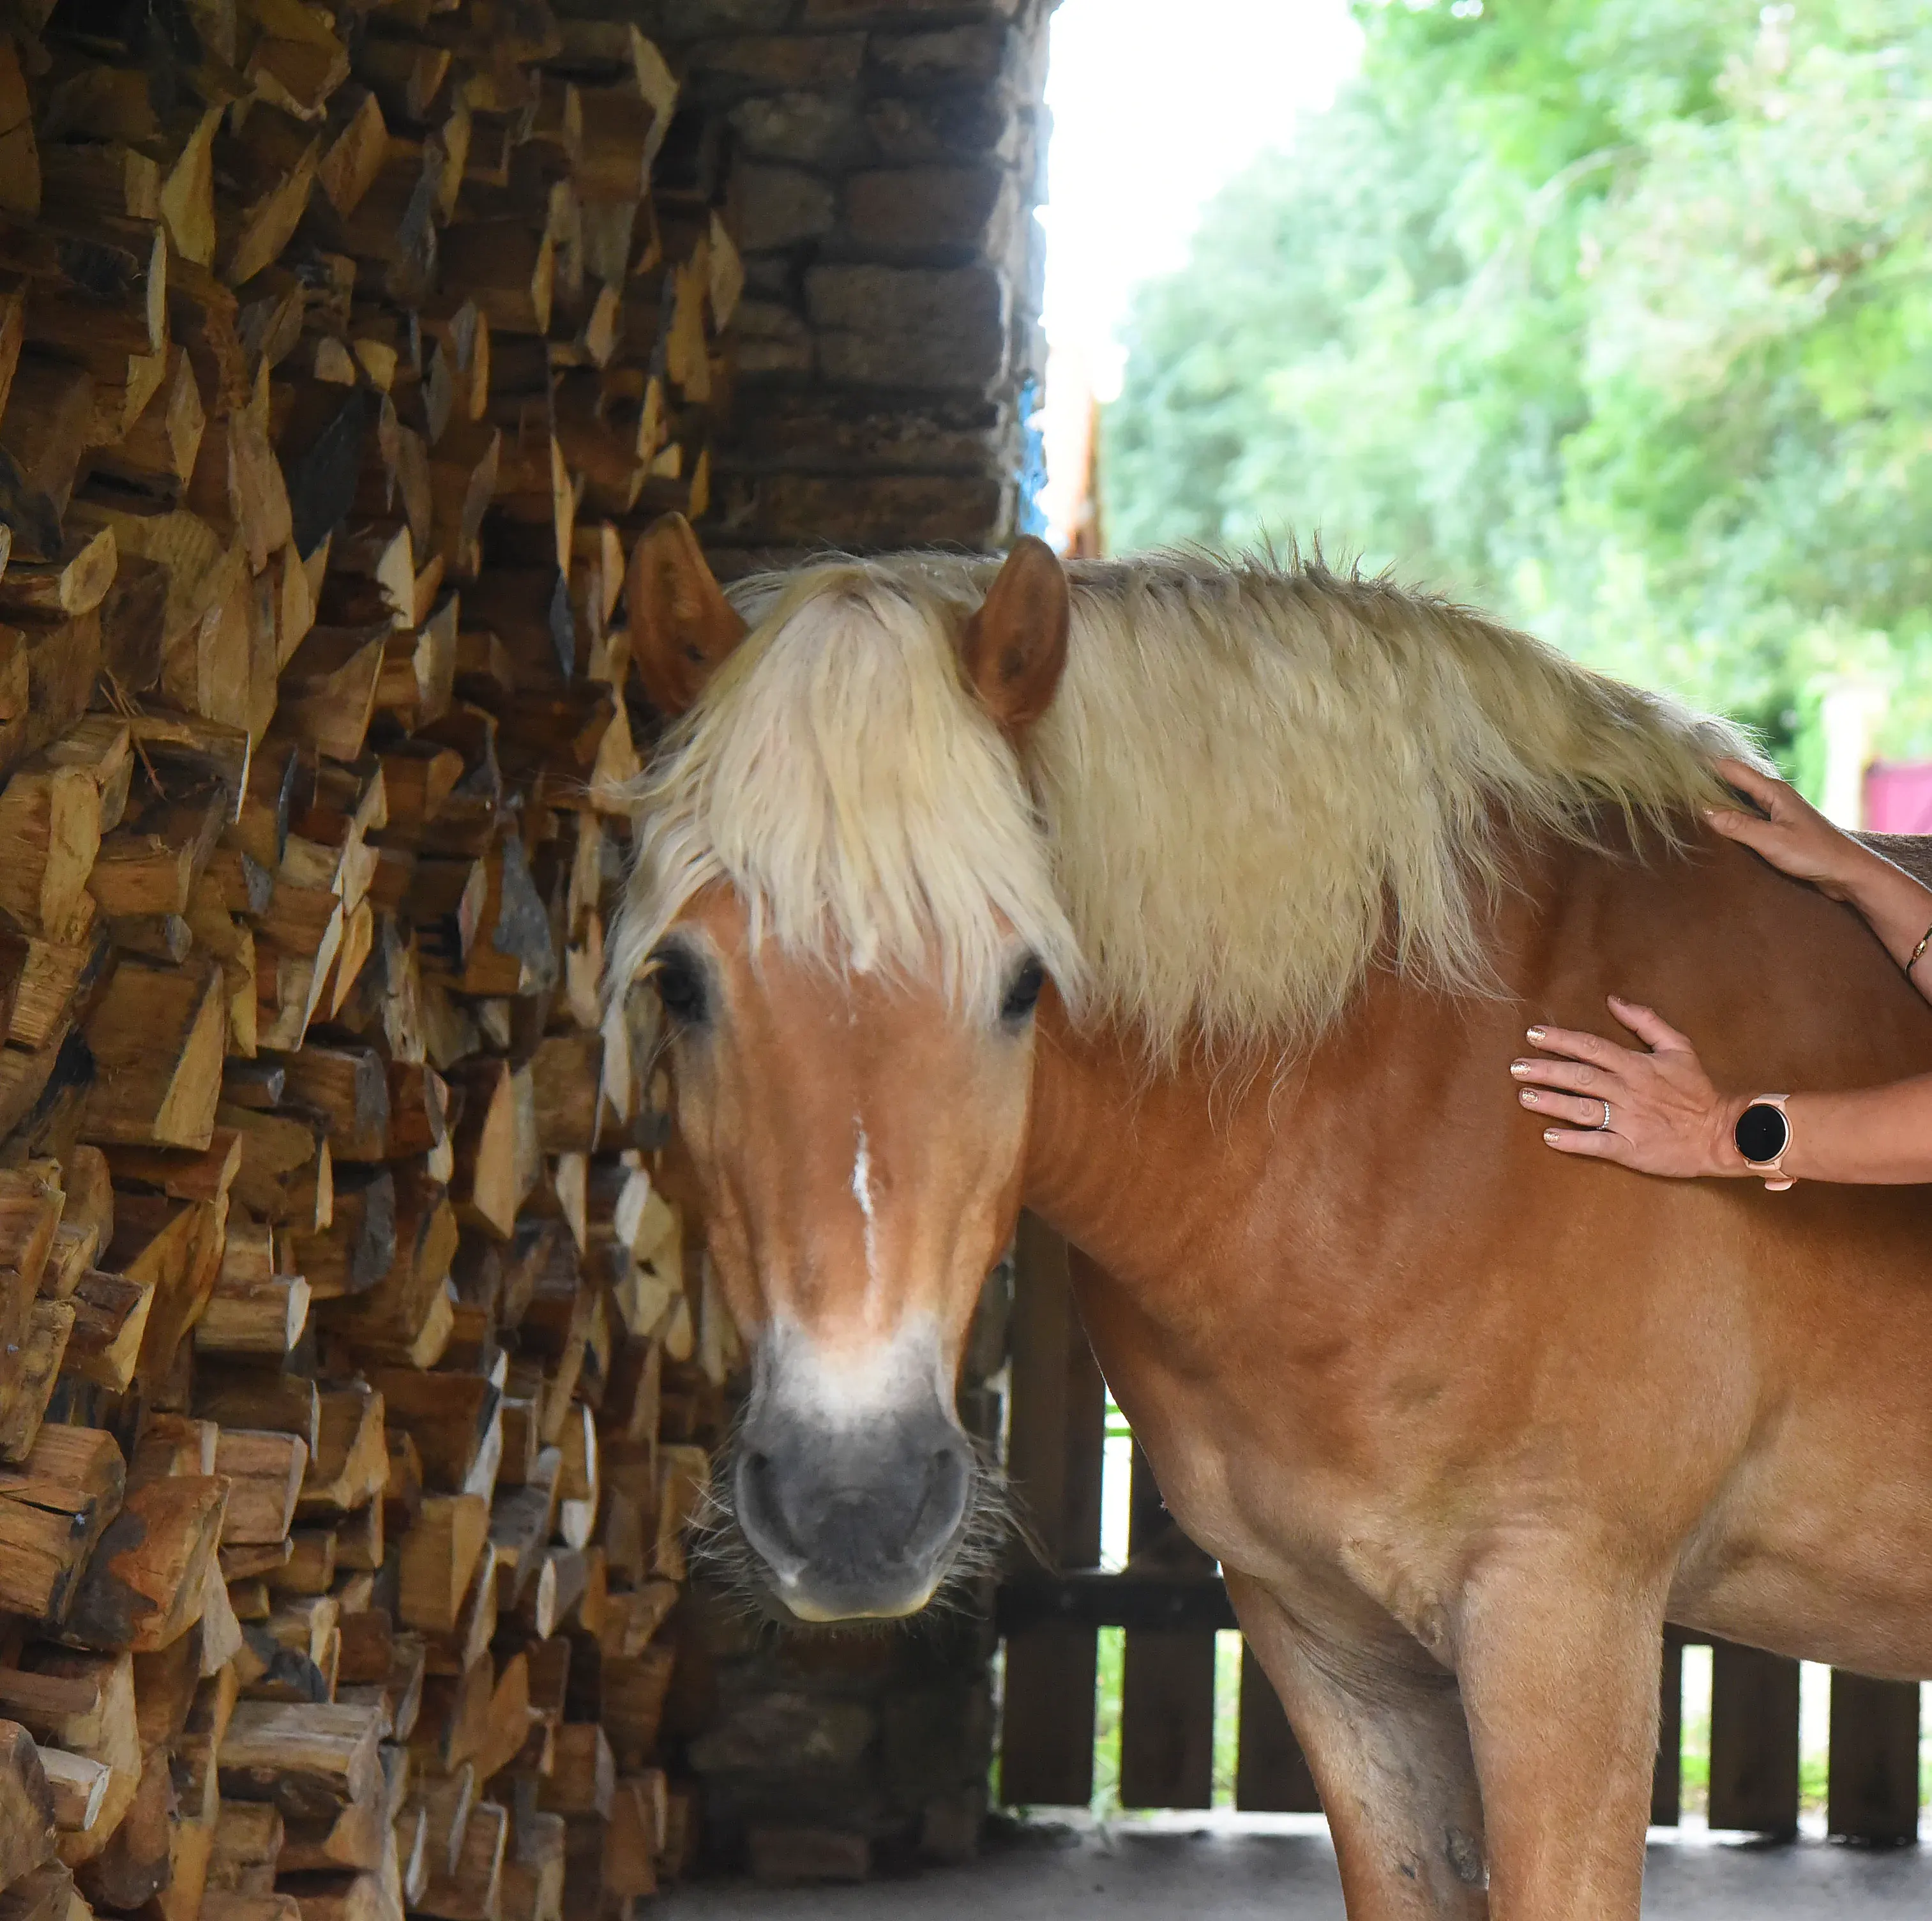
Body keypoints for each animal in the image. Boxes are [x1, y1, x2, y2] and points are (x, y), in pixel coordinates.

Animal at [610, 513, 1932, 1921]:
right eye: (677, 981)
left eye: (1024, 980)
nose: (851, 1504)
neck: (1421, 1093)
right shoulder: (1325, 1639)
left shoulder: (1562, 1617)